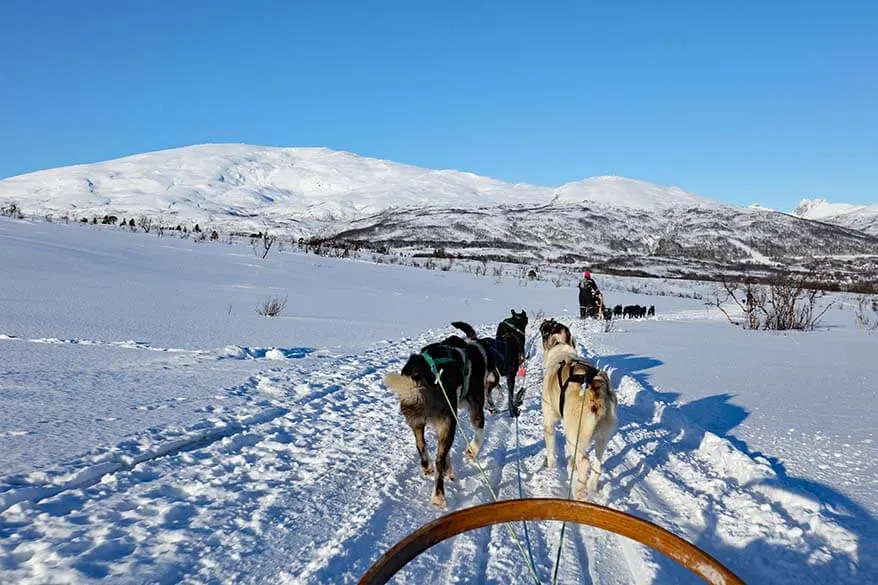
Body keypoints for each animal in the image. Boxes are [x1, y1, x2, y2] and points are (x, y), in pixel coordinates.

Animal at [386, 322, 502, 508]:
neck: (476, 351)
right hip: (449, 421)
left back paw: (428, 467)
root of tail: (419, 374)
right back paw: (438, 495)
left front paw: (450, 467)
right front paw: (472, 450)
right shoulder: (474, 409)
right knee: (439, 461)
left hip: (417, 422)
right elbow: (479, 432)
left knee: (421, 445)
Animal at [544, 340, 620, 496]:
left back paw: (579, 489)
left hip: (573, 437)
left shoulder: (549, 423)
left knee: (584, 462)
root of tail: (594, 388)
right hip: (602, 439)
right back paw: (591, 485)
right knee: (597, 463)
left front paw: (551, 467)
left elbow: (550, 450)